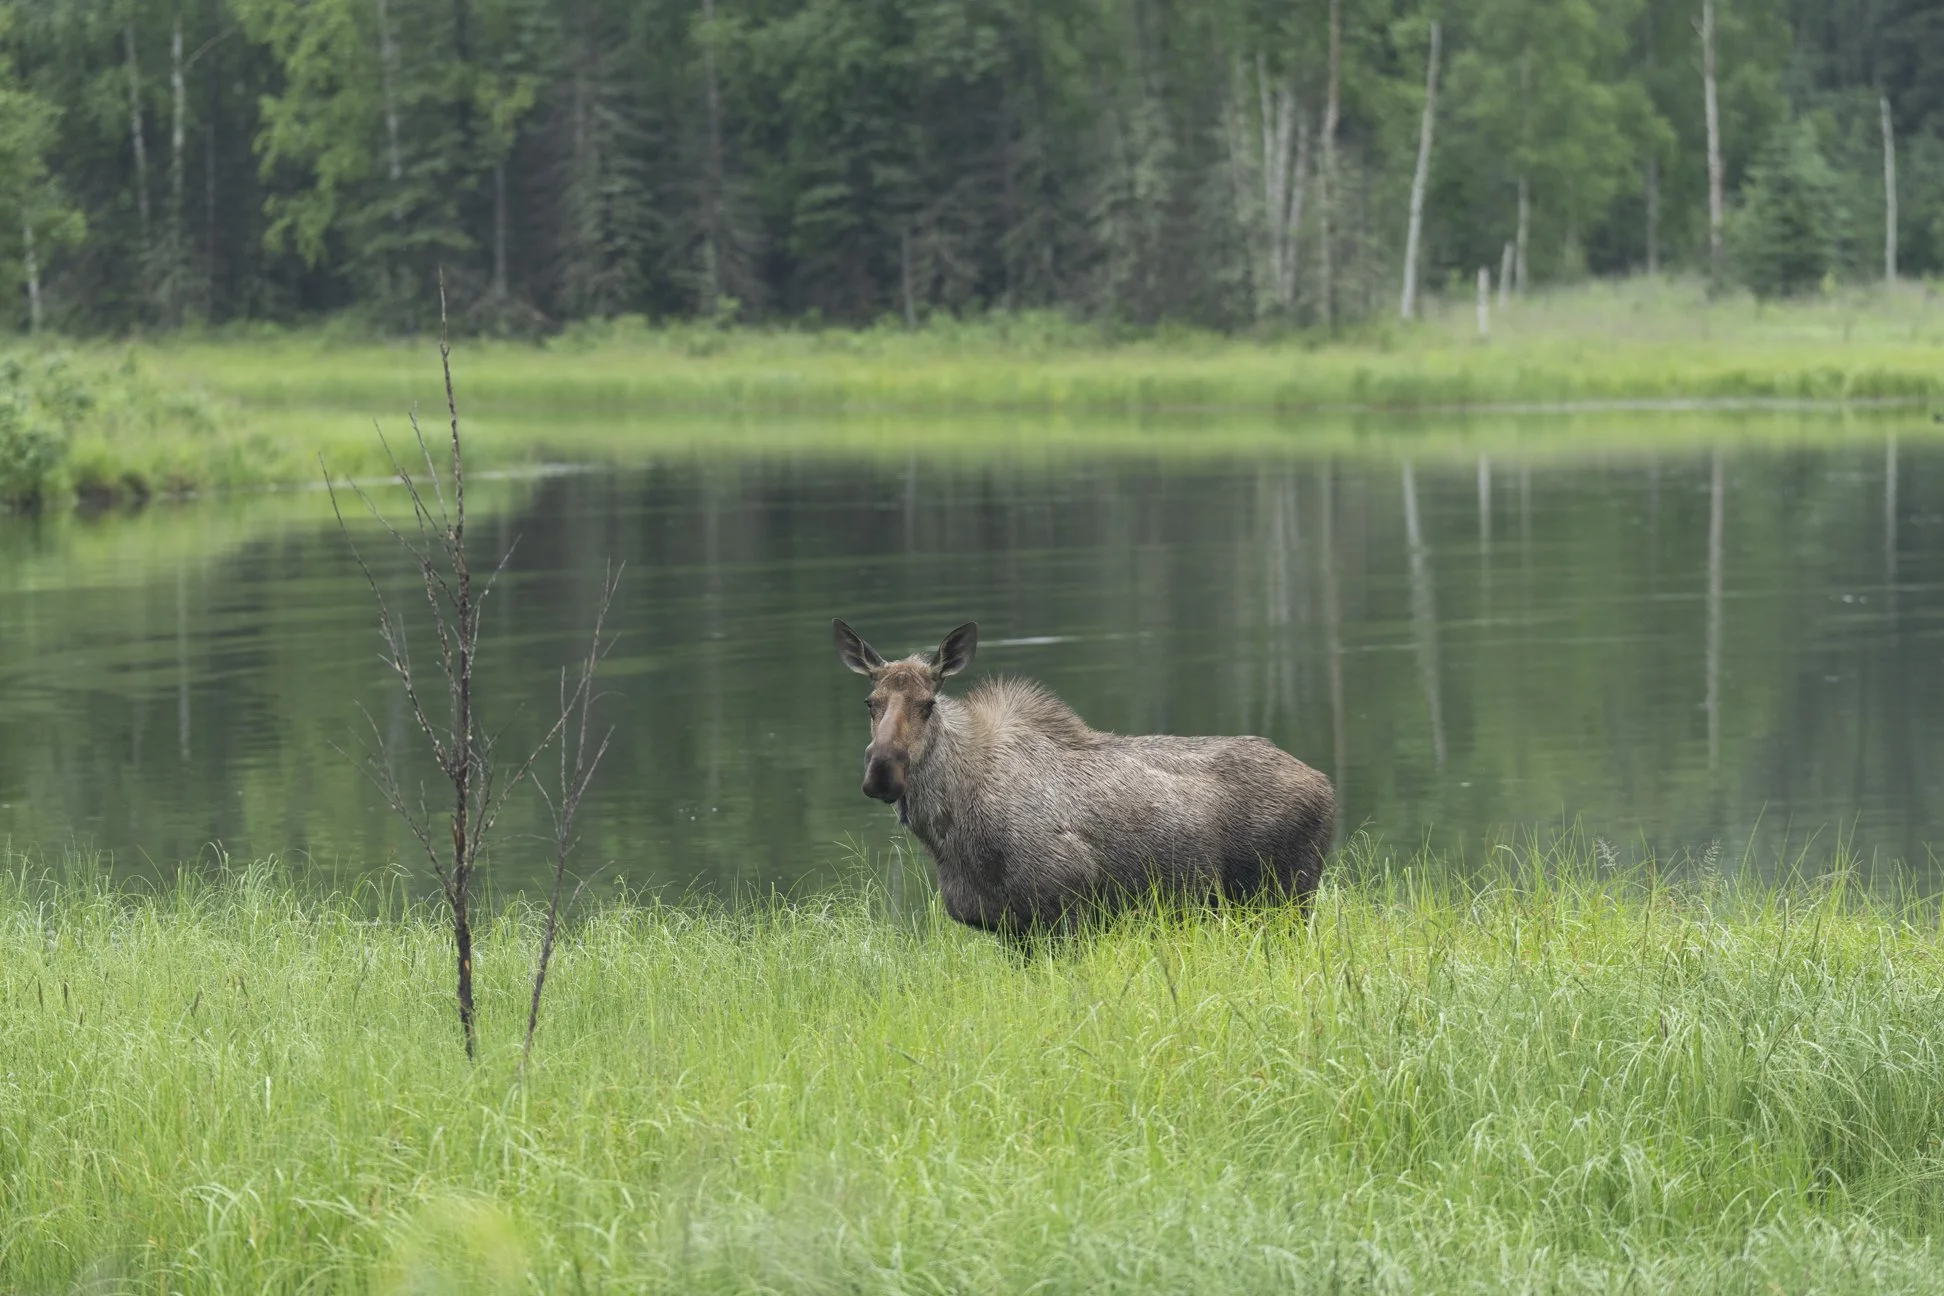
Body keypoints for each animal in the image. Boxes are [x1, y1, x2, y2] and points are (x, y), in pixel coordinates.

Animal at [833, 619, 1334, 935]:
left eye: (928, 703)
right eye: (870, 702)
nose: (882, 772)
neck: (949, 833)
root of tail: (1325, 786)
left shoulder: (1066, 908)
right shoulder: (1009, 928)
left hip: (1286, 895)